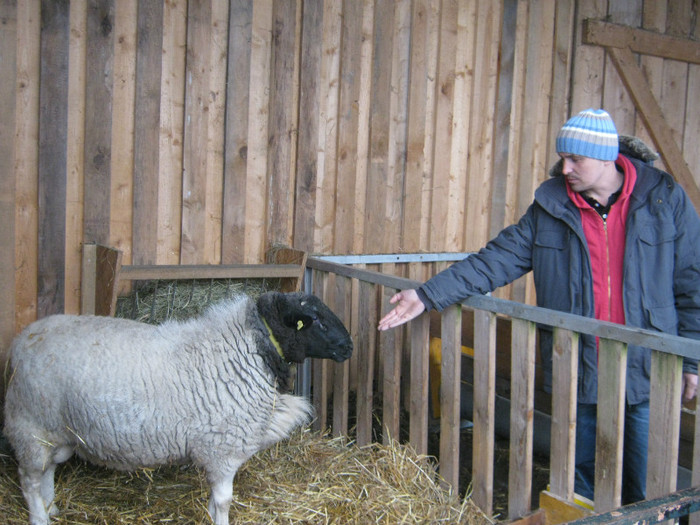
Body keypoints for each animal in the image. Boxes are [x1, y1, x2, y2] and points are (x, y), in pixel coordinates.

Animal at [4, 290, 356, 524]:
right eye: (315, 321)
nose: (350, 347)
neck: (246, 350)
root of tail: (21, 340)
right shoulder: (222, 449)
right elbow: (223, 502)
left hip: (56, 431)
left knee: (48, 470)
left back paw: (51, 508)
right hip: (29, 425)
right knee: (30, 479)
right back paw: (39, 517)